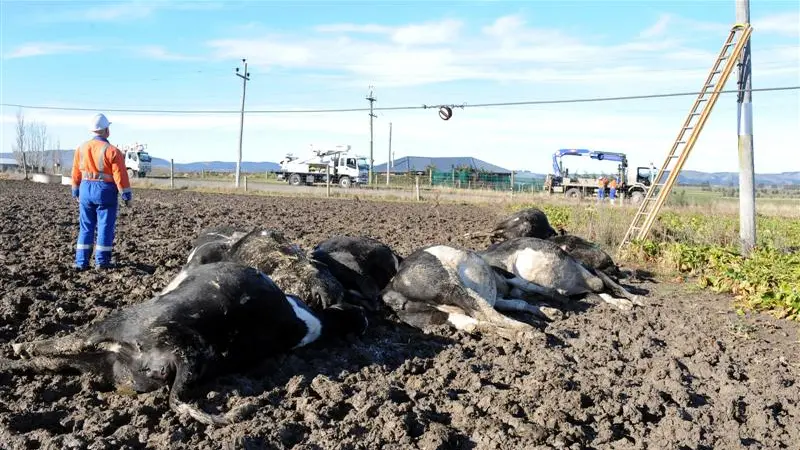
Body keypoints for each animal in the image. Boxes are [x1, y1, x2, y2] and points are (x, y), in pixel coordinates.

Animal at [1, 261, 368, 426]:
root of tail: (181, 356)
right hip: (110, 364)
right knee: (48, 362)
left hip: (116, 324)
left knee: (63, 343)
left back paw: (18, 349)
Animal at [380, 244, 565, 342]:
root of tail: (391, 287)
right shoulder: (504, 276)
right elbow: (528, 286)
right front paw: (557, 300)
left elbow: (520, 303)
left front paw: (552, 312)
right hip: (452, 286)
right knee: (487, 315)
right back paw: (530, 332)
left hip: (431, 316)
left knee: (475, 324)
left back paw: (520, 334)